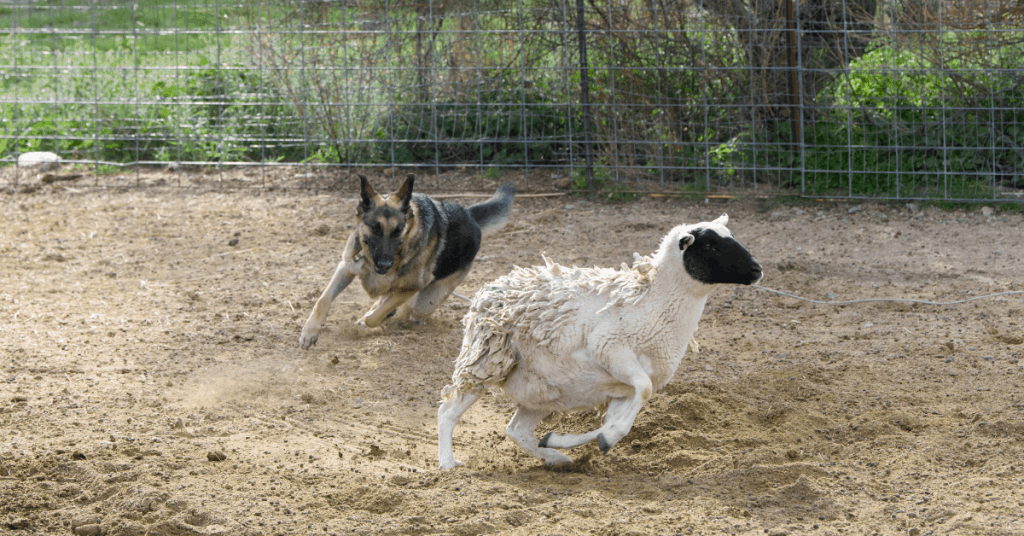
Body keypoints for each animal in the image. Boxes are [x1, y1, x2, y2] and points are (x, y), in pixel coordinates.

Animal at [299, 176, 516, 350]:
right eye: (375, 228)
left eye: (398, 231)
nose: (384, 264)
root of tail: (470, 214)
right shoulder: (347, 267)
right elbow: (323, 300)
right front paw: (310, 332)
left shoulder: (412, 287)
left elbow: (373, 318)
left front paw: (371, 319)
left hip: (425, 303)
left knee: (408, 310)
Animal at [436, 214, 765, 469]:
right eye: (709, 244)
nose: (757, 270)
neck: (651, 304)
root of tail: (492, 286)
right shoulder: (610, 349)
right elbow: (642, 392)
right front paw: (591, 440)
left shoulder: (624, 387)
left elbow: (621, 421)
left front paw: (568, 440)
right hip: (485, 360)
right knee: (447, 412)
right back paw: (448, 463)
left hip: (542, 387)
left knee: (517, 431)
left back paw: (555, 458)